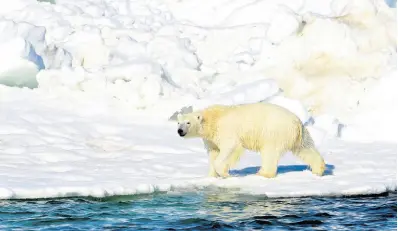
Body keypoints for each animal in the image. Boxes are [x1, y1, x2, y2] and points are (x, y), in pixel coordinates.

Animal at [177, 103, 326, 179]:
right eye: (178, 122)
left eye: (188, 122)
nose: (180, 131)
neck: (212, 119)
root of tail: (296, 122)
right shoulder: (210, 138)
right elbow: (214, 152)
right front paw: (212, 176)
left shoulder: (226, 131)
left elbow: (230, 148)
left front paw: (224, 173)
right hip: (299, 135)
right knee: (305, 148)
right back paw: (318, 169)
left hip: (273, 132)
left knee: (269, 153)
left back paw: (263, 173)